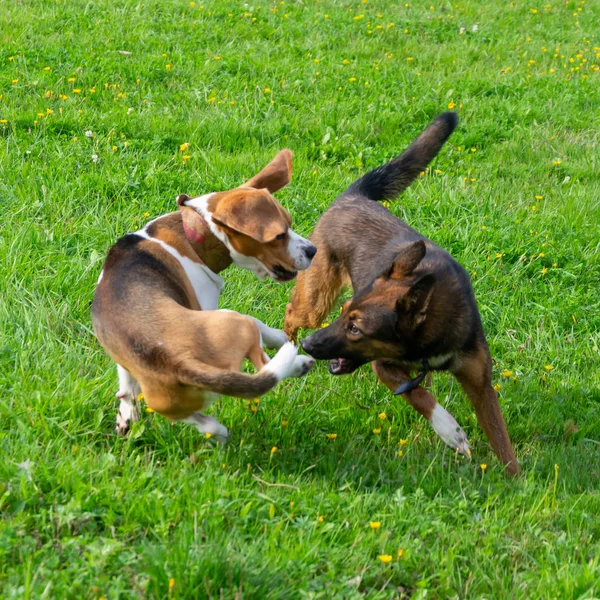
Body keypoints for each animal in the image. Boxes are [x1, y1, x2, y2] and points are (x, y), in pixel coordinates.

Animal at [92, 150, 316, 440]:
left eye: (289, 225)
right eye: (279, 235)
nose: (312, 250)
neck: (192, 233)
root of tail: (177, 361)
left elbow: (127, 385)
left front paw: (126, 416)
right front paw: (281, 338)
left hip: (170, 403)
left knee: (209, 422)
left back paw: (217, 432)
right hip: (234, 320)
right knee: (263, 362)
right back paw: (297, 361)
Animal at [286, 115, 520, 476]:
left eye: (355, 328)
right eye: (346, 316)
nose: (311, 346)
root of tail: (353, 196)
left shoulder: (480, 384)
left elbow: (501, 438)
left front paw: (517, 481)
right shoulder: (384, 367)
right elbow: (421, 397)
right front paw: (451, 431)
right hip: (314, 303)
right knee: (290, 313)